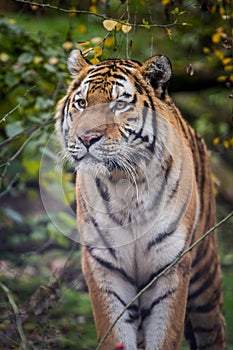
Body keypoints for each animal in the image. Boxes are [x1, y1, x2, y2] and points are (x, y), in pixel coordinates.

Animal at [55, 50, 226, 350]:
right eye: (82, 103)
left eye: (119, 104)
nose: (86, 138)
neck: (124, 183)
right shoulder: (105, 268)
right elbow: (115, 336)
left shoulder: (170, 267)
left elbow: (166, 336)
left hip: (204, 276)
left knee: (215, 328)